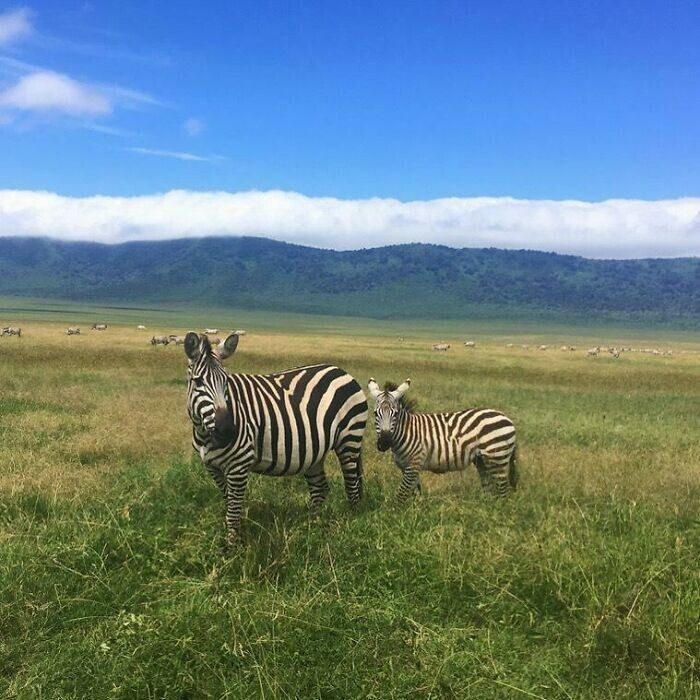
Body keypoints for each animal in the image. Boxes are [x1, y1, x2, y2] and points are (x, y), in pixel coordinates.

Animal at [185, 330, 366, 544]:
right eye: (198, 381)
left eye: (226, 382)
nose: (228, 430)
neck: (205, 433)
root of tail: (342, 371)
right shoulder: (212, 467)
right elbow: (229, 504)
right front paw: (236, 538)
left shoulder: (239, 465)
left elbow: (233, 512)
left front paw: (232, 547)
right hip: (316, 451)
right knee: (320, 488)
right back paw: (311, 529)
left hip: (349, 439)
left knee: (352, 487)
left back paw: (349, 529)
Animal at [370, 380, 516, 500]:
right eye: (375, 413)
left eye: (395, 414)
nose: (384, 443)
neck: (406, 432)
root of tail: (506, 417)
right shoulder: (406, 467)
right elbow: (415, 493)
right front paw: (415, 511)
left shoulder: (413, 464)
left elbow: (401, 495)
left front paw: (394, 513)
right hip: (482, 460)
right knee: (489, 488)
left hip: (497, 457)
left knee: (503, 492)